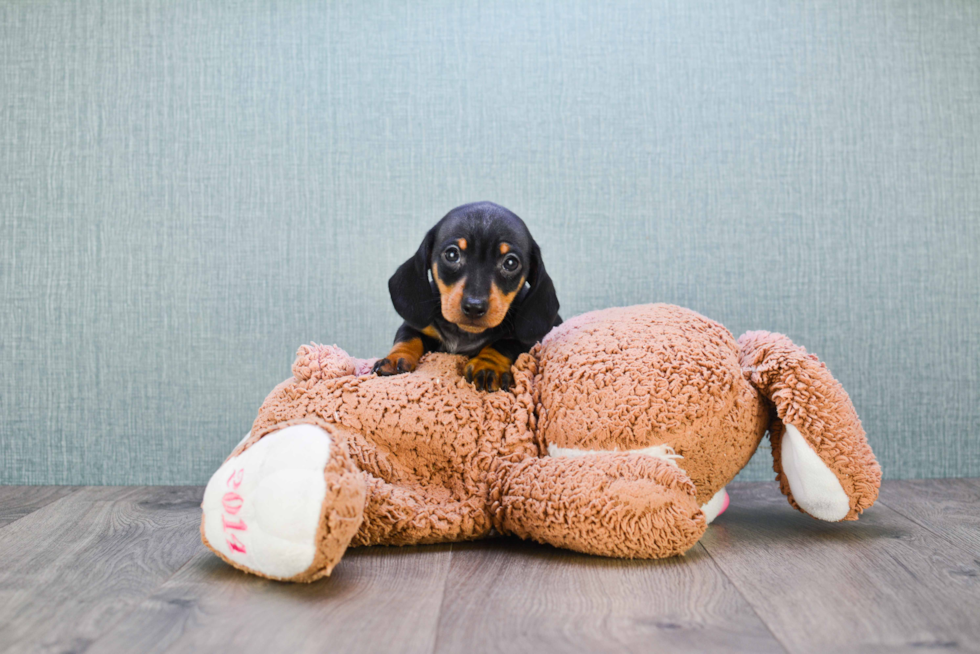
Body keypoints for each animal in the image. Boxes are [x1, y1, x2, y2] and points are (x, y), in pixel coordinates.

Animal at [374, 202, 564, 392]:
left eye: (511, 263)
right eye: (452, 254)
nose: (474, 307)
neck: (465, 333)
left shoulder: (528, 341)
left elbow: (503, 344)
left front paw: (487, 365)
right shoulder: (417, 326)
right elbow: (408, 337)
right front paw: (396, 358)